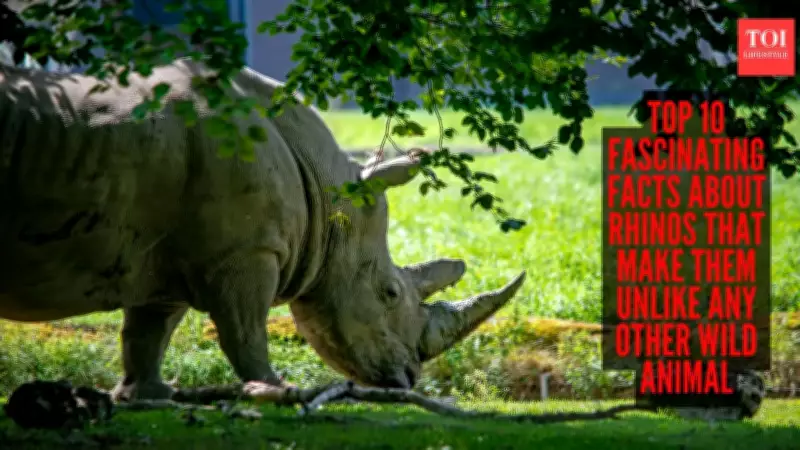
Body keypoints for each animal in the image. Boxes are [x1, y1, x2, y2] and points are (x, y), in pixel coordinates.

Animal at [0, 59, 526, 401]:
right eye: (390, 294)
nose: (408, 379)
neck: (329, 193)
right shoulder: (246, 252)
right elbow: (245, 327)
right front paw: (274, 390)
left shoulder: (163, 253)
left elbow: (150, 329)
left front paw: (148, 397)